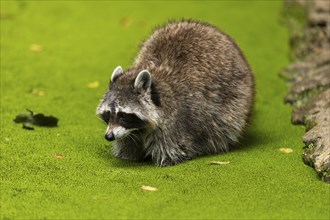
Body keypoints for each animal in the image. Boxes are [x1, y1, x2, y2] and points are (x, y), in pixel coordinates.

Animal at [96, 19, 254, 166]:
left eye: (123, 115)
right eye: (108, 114)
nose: (109, 136)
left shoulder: (173, 124)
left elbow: (172, 151)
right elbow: (128, 145)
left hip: (235, 99)